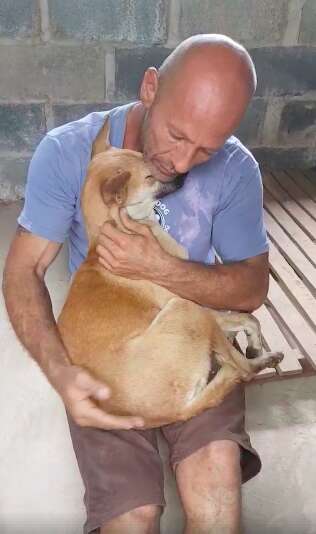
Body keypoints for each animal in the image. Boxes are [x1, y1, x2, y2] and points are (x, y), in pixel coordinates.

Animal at [57, 119, 284, 430]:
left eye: (146, 158)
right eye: (150, 177)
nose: (183, 175)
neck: (116, 228)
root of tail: (172, 414)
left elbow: (245, 318)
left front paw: (251, 339)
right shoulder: (195, 304)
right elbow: (243, 319)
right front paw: (253, 343)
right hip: (185, 309)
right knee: (241, 369)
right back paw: (262, 361)